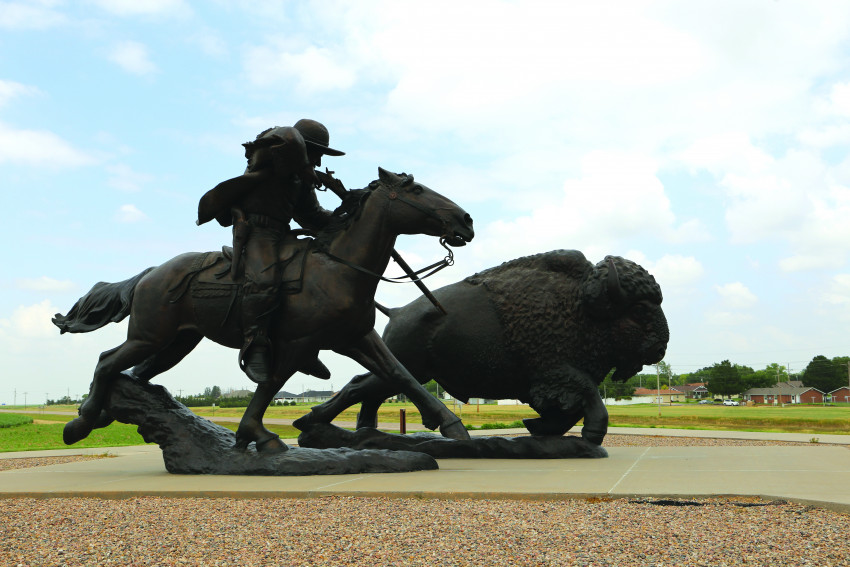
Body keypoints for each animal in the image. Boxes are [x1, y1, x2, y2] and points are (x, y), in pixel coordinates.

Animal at [56, 168, 474, 452]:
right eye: (416, 189)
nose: (466, 221)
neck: (337, 268)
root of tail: (149, 274)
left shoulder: (355, 338)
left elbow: (401, 374)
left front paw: (451, 425)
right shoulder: (298, 343)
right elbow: (270, 382)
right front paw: (256, 434)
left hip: (176, 343)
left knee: (134, 372)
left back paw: (101, 413)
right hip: (149, 336)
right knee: (107, 361)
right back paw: (81, 423)